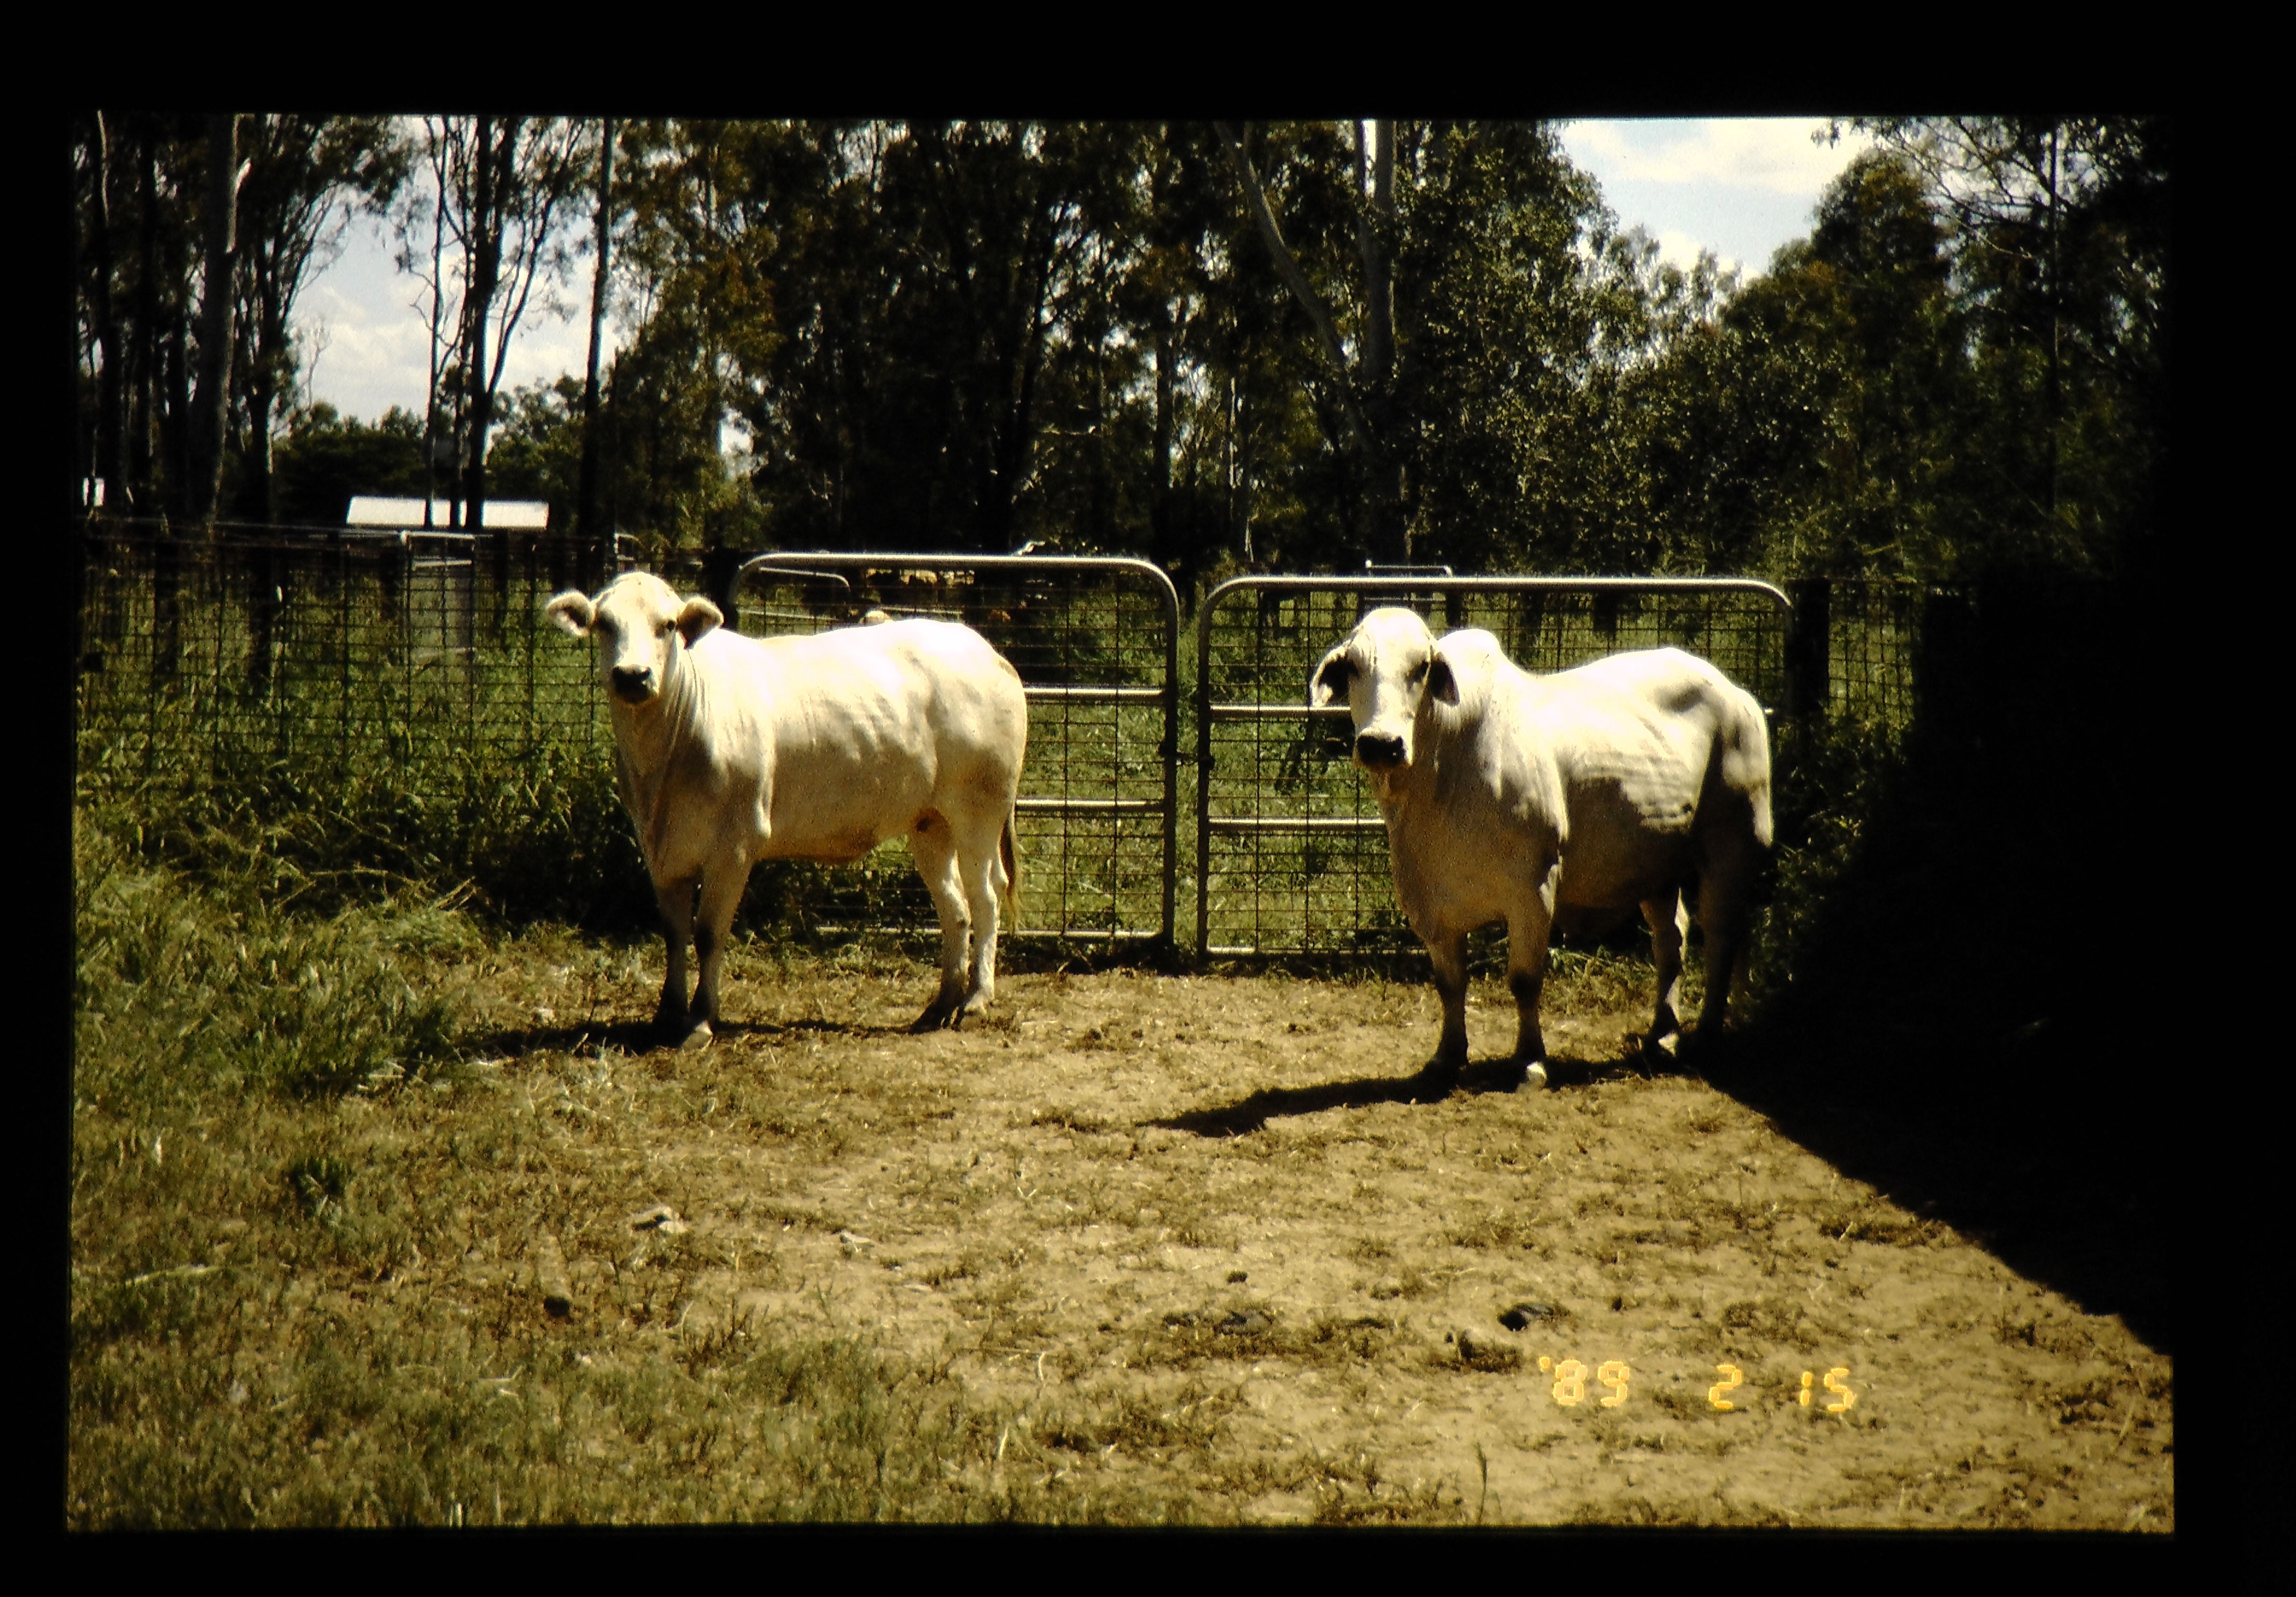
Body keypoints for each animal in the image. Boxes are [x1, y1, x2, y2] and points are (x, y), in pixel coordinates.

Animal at [546, 573, 1028, 1048]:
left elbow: (708, 933)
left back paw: (976, 999)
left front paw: (700, 1021)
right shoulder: (660, 849)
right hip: (930, 823)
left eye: (667, 625)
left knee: (986, 897)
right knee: (955, 908)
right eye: (604, 624)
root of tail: (984, 649)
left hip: (979, 810)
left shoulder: (736, 844)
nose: (632, 675)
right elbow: (674, 932)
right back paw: (942, 1004)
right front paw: (667, 1015)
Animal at [1310, 606, 1772, 1093]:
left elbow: (1525, 980)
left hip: (1732, 843)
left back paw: (1706, 1036)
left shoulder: (1533, 888)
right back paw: (1662, 1037)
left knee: (1720, 937)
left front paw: (1530, 1062)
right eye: (1354, 667)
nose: (1381, 744)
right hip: (1655, 864)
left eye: (1421, 668)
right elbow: (1450, 984)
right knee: (1673, 942)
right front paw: (1446, 1057)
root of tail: (1736, 694)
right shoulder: (1432, 906)